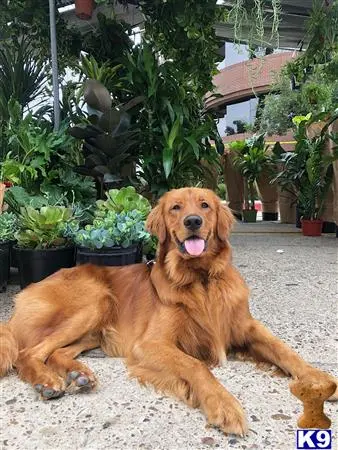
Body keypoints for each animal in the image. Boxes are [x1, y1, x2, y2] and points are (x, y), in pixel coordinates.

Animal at [0, 187, 336, 436]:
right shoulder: (150, 344)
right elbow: (196, 366)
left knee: (55, 351)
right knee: (27, 353)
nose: (193, 221)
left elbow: (284, 349)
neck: (200, 280)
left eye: (205, 205)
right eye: (175, 208)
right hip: (96, 301)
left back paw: (78, 374)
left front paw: (317, 379)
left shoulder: (246, 327)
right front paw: (223, 404)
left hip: (95, 328)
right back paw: (47, 382)